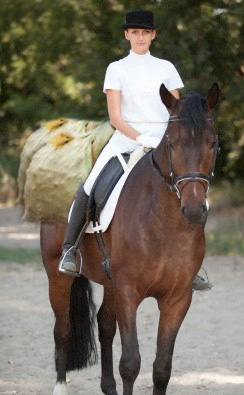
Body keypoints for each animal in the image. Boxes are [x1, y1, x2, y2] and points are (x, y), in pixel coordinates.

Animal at [39, 82, 219, 394]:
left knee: (104, 325)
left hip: (109, 282)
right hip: (58, 276)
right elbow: (131, 363)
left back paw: (107, 387)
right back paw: (60, 386)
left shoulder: (177, 298)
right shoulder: (128, 291)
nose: (195, 209)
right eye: (171, 143)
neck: (166, 224)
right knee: (62, 330)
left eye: (213, 143)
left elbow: (162, 367)